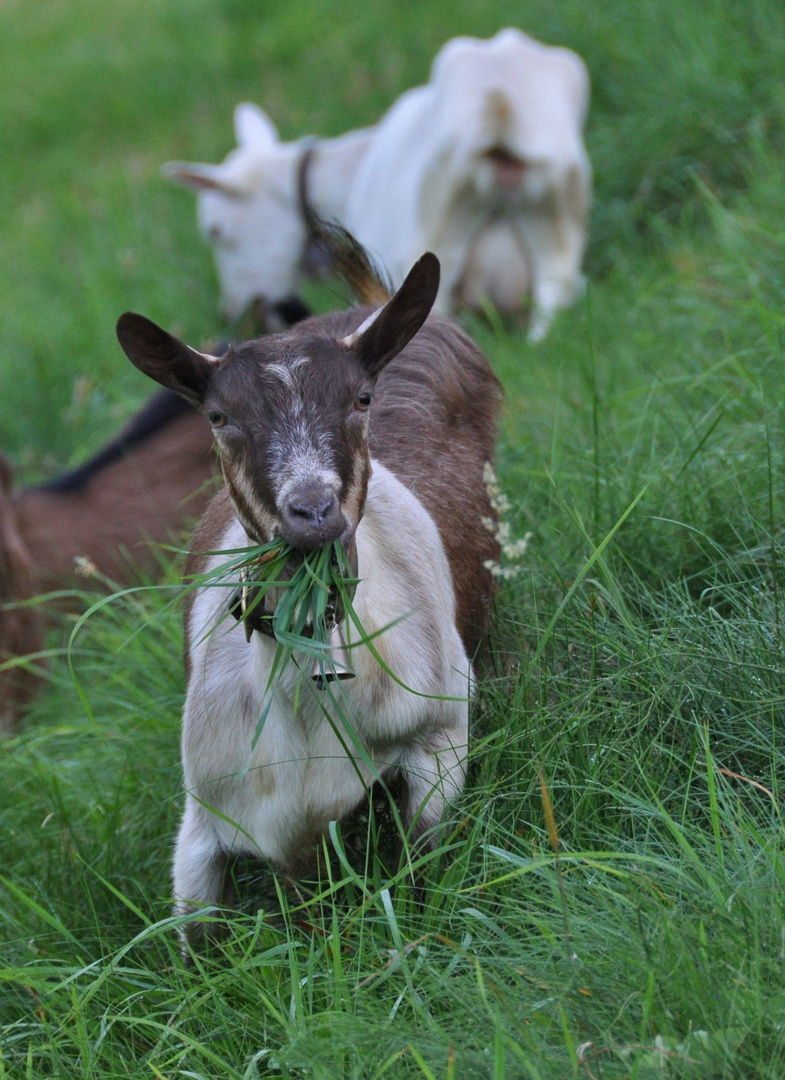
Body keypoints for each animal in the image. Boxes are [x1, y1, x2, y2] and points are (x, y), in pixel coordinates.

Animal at [116, 247, 501, 928]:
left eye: (362, 397)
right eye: (218, 416)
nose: (313, 510)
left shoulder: (441, 738)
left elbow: (421, 861)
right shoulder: (209, 824)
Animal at [164, 27, 587, 339]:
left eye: (215, 231)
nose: (231, 314)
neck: (346, 174)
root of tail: (501, 104)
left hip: (431, 226)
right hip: (558, 214)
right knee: (554, 296)